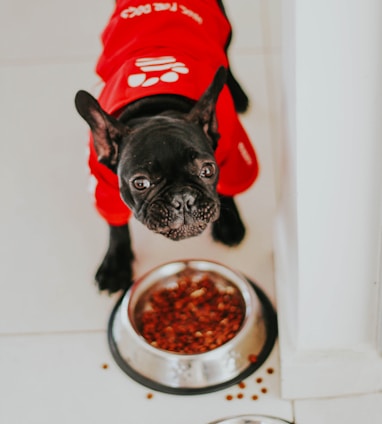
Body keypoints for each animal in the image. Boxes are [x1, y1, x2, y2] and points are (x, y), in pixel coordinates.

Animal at [74, 0, 260, 292]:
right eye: (140, 183)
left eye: (208, 170)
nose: (183, 198)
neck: (156, 108)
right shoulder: (103, 186)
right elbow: (116, 226)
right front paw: (116, 263)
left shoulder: (233, 154)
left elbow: (229, 188)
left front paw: (230, 224)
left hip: (226, 28)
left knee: (228, 58)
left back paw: (237, 91)